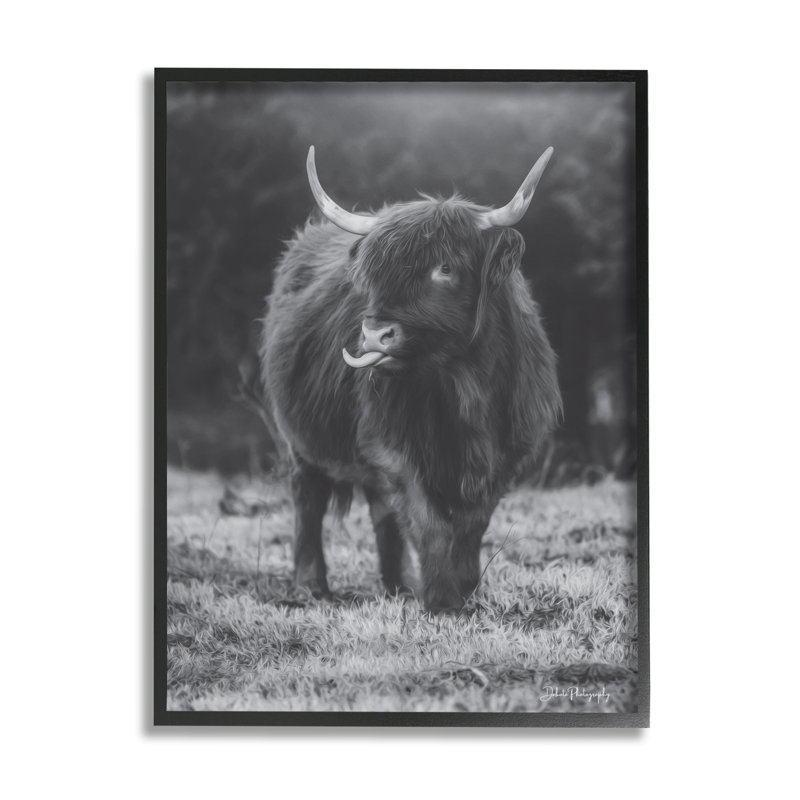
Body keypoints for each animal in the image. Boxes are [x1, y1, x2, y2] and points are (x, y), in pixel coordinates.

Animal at [260, 146, 562, 613]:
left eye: (445, 267)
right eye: (374, 273)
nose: (373, 335)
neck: (463, 384)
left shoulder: (509, 450)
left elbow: (472, 523)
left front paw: (466, 590)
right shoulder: (391, 444)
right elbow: (428, 520)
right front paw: (441, 599)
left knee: (381, 510)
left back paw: (397, 585)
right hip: (299, 440)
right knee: (308, 499)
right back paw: (312, 586)